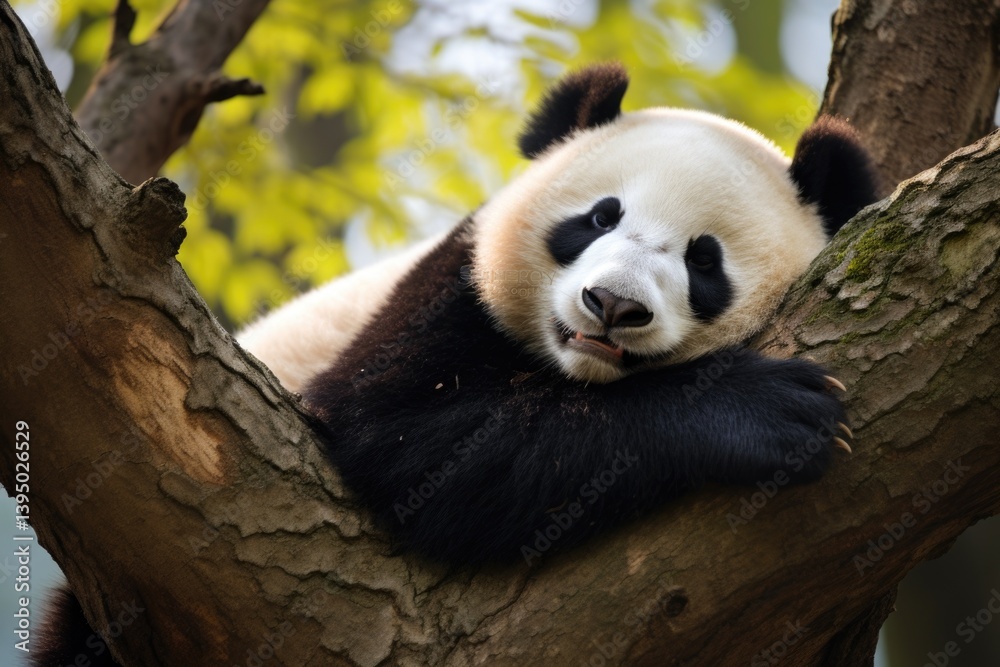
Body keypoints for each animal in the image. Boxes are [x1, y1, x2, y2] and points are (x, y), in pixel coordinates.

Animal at [32, 63, 877, 665]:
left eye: (705, 260)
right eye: (599, 216)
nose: (611, 305)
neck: (578, 376)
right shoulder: (449, 288)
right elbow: (405, 437)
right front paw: (763, 413)